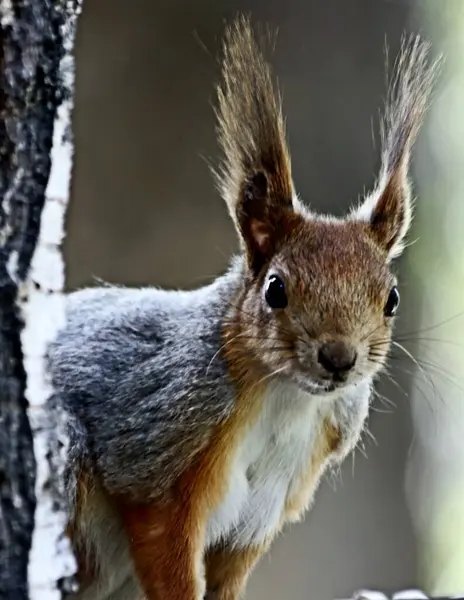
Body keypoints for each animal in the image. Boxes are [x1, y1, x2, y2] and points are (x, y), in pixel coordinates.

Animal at [47, 12, 438, 600]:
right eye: (275, 288)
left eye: (391, 298)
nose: (339, 358)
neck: (284, 396)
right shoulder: (160, 446)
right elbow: (164, 548)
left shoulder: (267, 506)